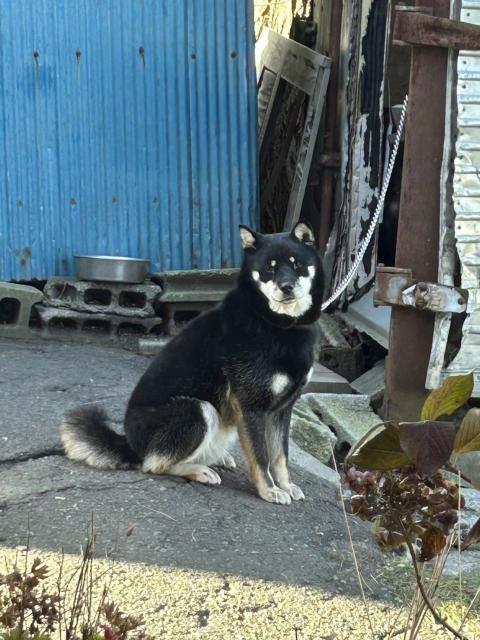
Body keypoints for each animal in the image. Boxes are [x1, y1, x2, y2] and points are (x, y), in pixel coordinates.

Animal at [60, 222, 322, 508]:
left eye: (297, 264)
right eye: (269, 268)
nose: (287, 287)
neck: (275, 323)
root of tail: (129, 443)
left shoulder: (282, 409)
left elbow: (280, 456)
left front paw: (285, 485)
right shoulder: (251, 405)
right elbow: (261, 456)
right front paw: (269, 490)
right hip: (197, 409)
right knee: (153, 463)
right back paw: (199, 470)